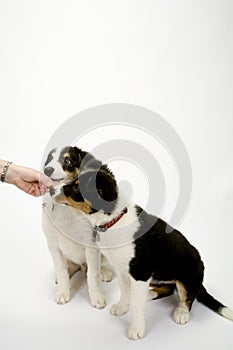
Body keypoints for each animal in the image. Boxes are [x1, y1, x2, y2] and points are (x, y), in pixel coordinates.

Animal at [42, 146, 112, 308]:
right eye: (50, 158)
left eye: (67, 160)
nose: (46, 170)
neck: (65, 208)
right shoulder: (52, 243)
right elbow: (61, 270)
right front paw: (63, 293)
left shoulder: (90, 244)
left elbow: (92, 275)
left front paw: (97, 297)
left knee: (98, 266)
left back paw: (104, 272)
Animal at [51, 146, 233, 340]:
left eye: (77, 188)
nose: (51, 191)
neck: (114, 221)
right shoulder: (123, 270)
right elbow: (124, 292)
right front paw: (121, 308)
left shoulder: (140, 273)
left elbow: (137, 307)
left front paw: (136, 330)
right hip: (159, 277)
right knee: (168, 289)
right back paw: (149, 294)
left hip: (189, 274)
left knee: (187, 296)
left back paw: (181, 313)